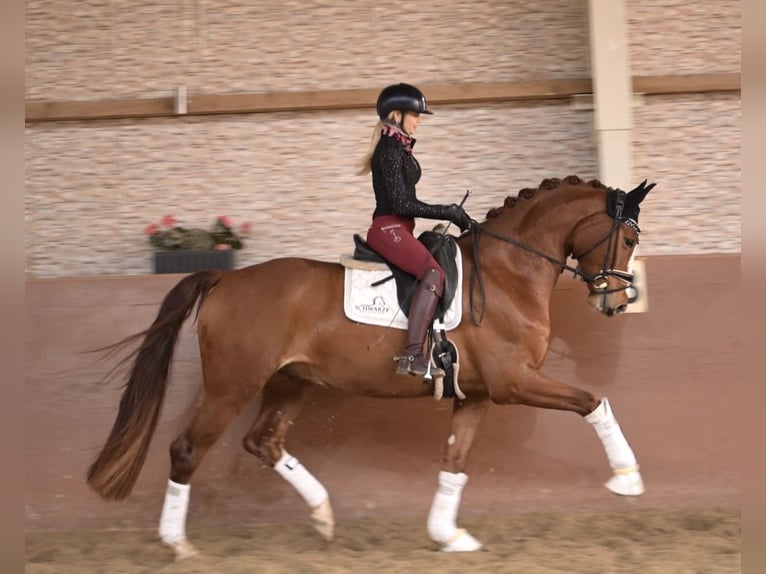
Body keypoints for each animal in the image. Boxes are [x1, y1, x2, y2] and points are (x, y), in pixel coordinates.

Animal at [86, 174, 654, 558]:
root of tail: (226, 279)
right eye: (628, 240)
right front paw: (627, 479)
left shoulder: (479, 394)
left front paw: (448, 534)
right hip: (233, 386)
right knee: (187, 449)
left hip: (290, 381)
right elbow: (593, 401)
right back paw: (179, 545)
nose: (616, 302)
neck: (506, 273)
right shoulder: (514, 382)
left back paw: (323, 514)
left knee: (263, 441)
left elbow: (454, 461)